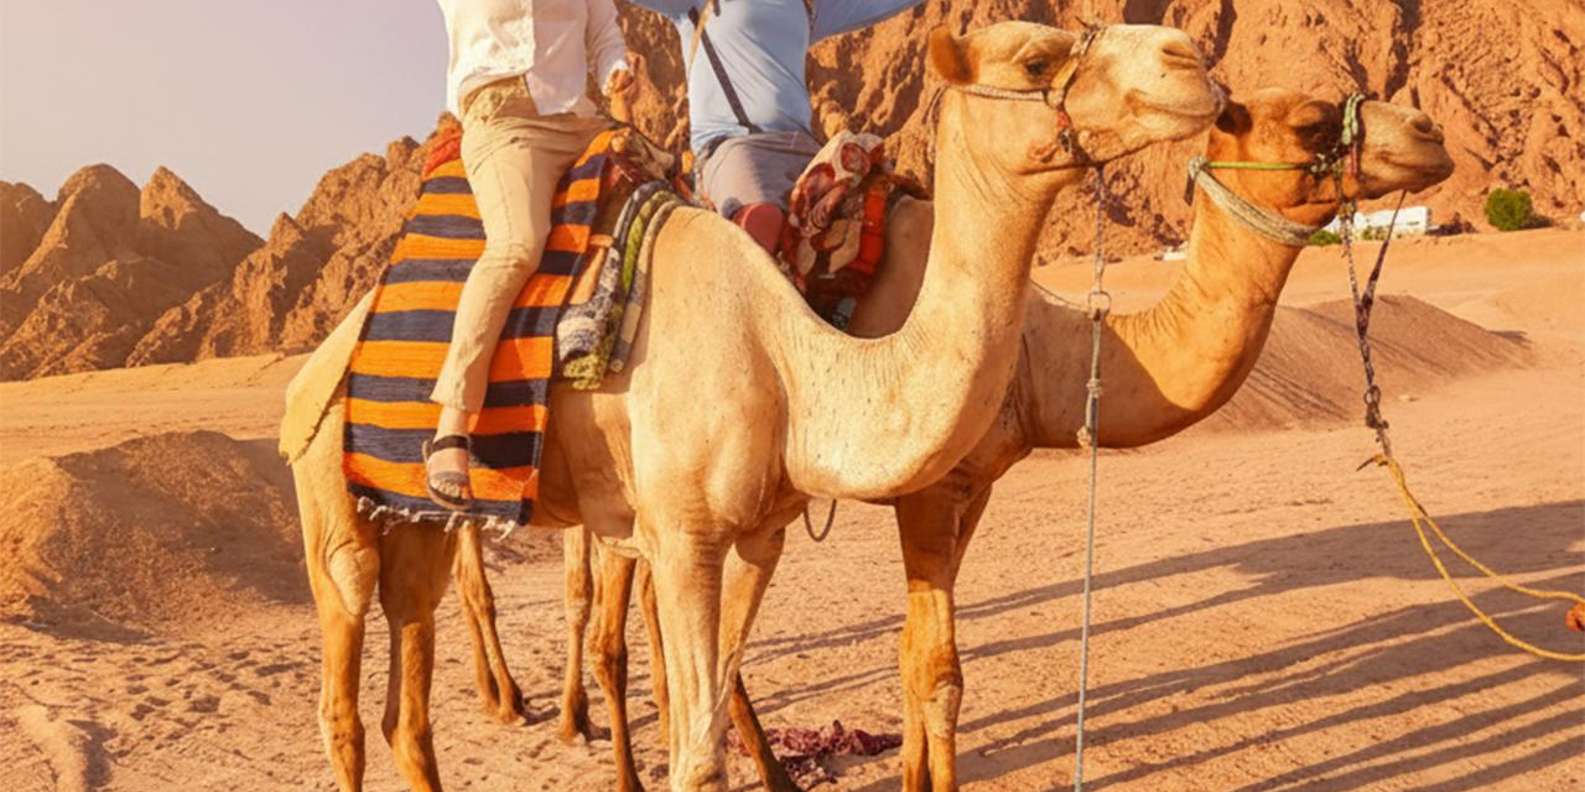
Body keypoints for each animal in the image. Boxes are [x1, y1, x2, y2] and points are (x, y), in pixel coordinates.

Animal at [286, 21, 1219, 791]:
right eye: (1035, 59)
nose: (1190, 61)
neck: (792, 363)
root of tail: (321, 360)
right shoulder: (680, 536)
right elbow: (695, 756)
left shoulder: (755, 533)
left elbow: (711, 713)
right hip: (330, 493)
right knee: (344, 696)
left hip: (417, 525)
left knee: (408, 692)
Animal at [470, 87, 1457, 791]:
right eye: (1310, 118)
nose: (1429, 133)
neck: (1034, 354)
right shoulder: (925, 488)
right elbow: (937, 669)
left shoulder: (975, 485)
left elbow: (919, 659)